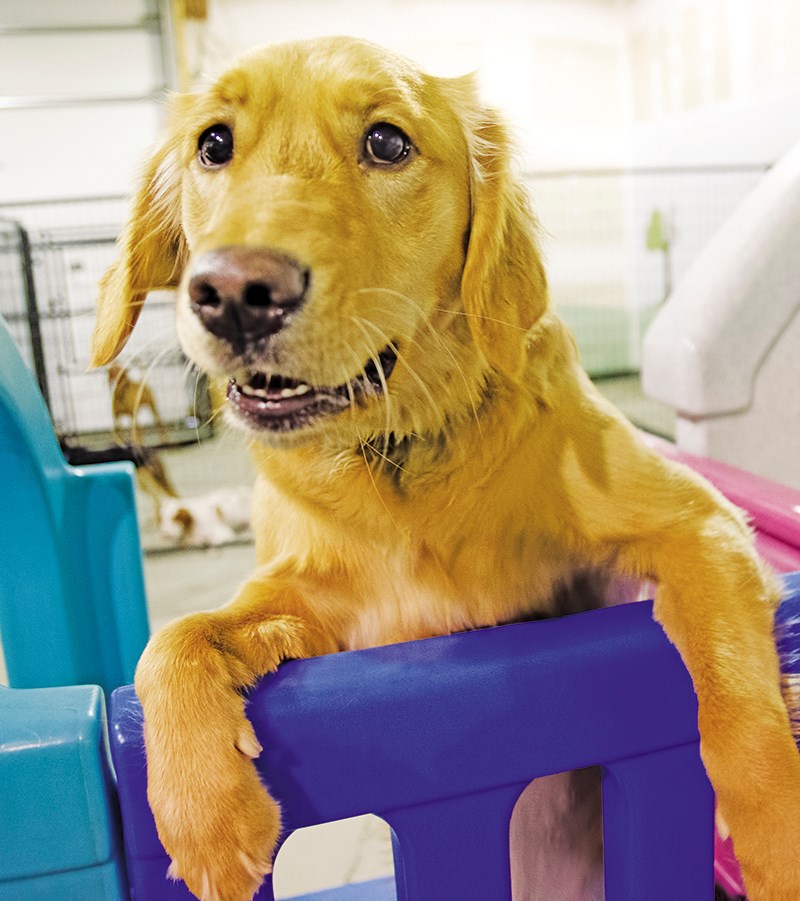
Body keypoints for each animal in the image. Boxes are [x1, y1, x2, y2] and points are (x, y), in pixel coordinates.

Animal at [89, 35, 800, 900]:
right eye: (214, 143)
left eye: (387, 143)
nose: (232, 294)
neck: (401, 454)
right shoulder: (325, 606)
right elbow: (174, 640)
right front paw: (205, 815)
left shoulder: (695, 522)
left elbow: (731, 668)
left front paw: (777, 834)